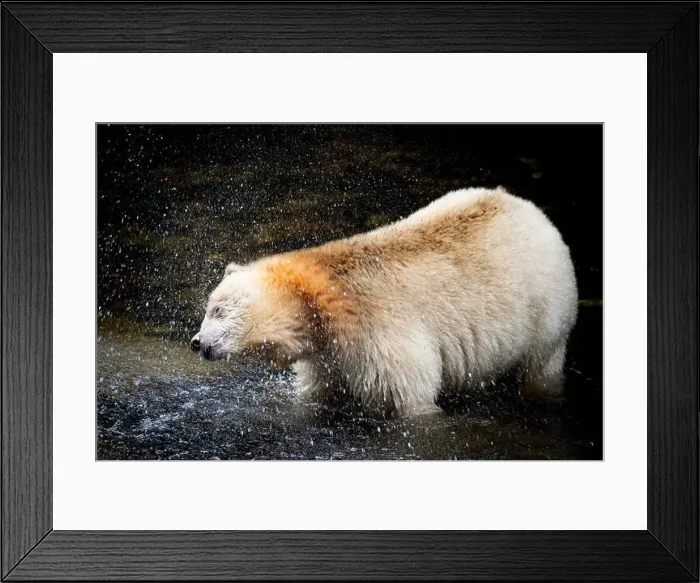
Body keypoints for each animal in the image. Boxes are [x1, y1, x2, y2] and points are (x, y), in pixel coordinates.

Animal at [191, 187, 578, 417]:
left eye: (218, 310)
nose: (196, 342)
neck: (324, 298)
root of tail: (535, 213)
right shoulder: (328, 355)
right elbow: (320, 392)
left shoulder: (379, 336)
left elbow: (408, 396)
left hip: (544, 312)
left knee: (539, 365)